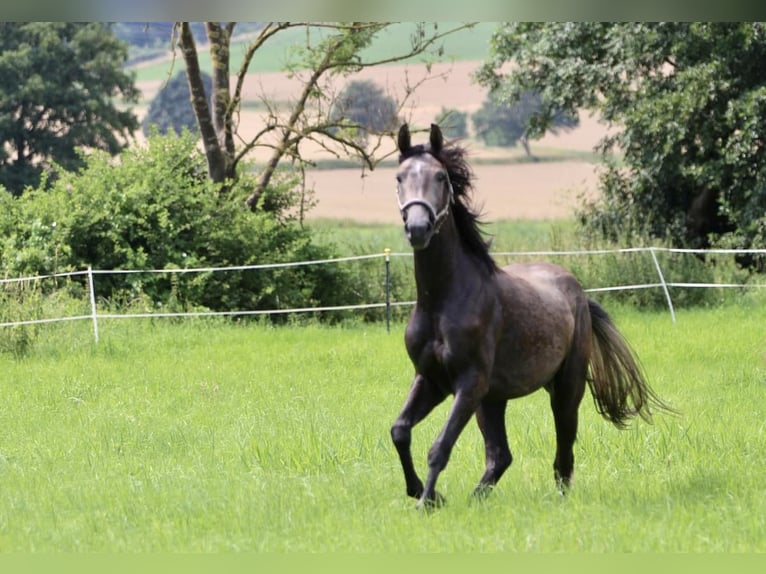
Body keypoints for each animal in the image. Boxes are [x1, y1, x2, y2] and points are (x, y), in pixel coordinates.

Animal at [392, 124, 676, 510]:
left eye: (441, 177)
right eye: (399, 177)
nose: (418, 228)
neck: (442, 301)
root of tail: (577, 291)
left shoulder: (469, 382)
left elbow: (440, 446)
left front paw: (426, 502)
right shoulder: (431, 379)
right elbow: (400, 431)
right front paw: (427, 494)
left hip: (565, 388)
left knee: (563, 451)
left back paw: (557, 500)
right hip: (492, 399)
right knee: (500, 456)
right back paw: (476, 500)